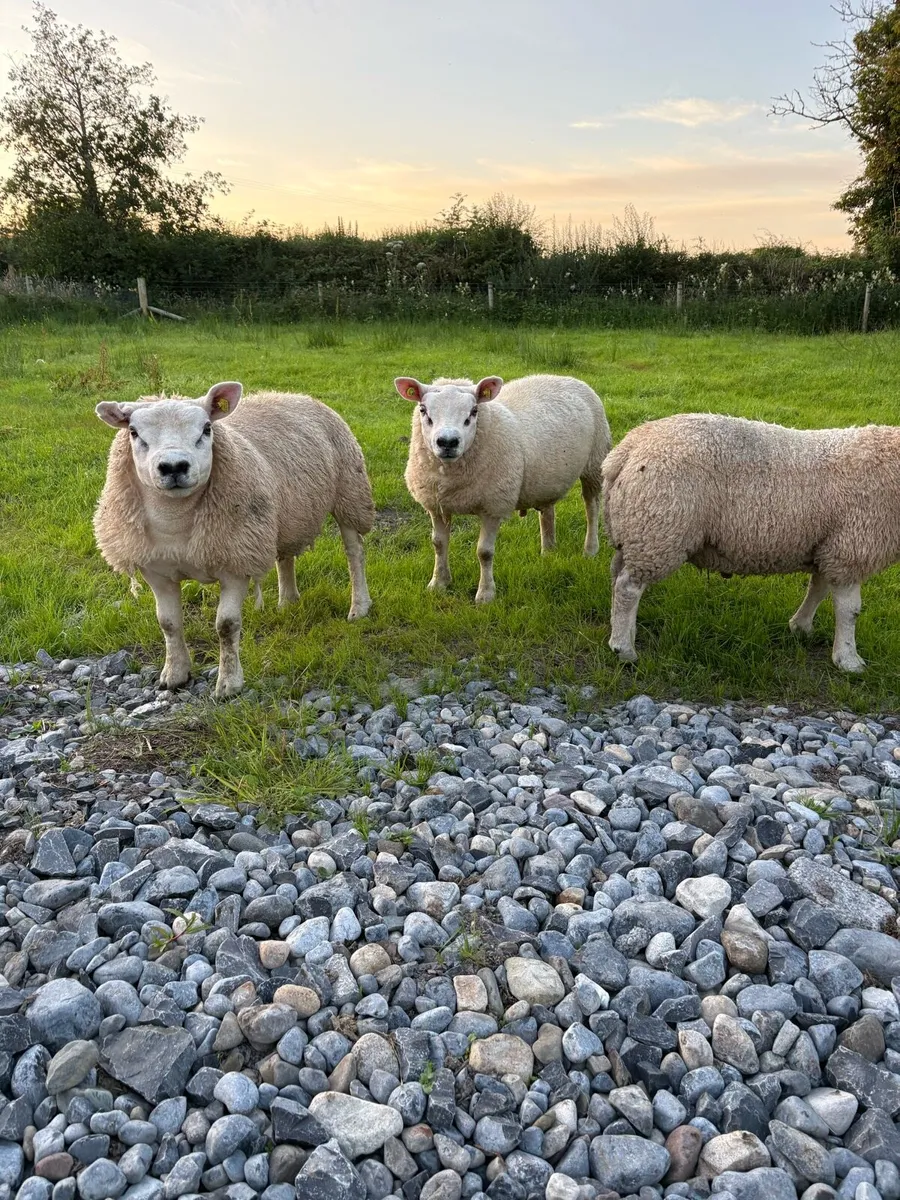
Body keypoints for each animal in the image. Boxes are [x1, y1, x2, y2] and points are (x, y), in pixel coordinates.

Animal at [94, 381, 374, 698]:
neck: (175, 521)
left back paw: (359, 606)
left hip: (349, 490)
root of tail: (293, 394)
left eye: (206, 429)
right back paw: (288, 601)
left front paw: (229, 683)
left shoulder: (235, 563)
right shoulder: (157, 571)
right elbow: (168, 624)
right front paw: (174, 674)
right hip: (281, 515)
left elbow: (226, 626)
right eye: (133, 432)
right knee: (285, 555)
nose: (174, 466)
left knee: (354, 553)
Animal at [396, 373, 611, 602]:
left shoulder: (493, 506)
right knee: (547, 512)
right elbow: (438, 544)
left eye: (474, 411)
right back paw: (548, 552)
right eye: (423, 410)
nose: (448, 442)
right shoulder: (436, 505)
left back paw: (590, 549)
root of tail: (565, 377)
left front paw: (485, 595)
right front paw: (438, 583)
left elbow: (484, 552)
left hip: (595, 462)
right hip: (546, 480)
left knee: (591, 508)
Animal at [602, 411, 900, 671]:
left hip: (635, 532)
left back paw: (622, 631)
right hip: (658, 532)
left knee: (617, 576)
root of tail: (627, 449)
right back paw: (624, 650)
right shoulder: (852, 548)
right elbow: (850, 611)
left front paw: (801, 627)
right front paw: (848, 660)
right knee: (628, 588)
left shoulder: (829, 548)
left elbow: (818, 589)